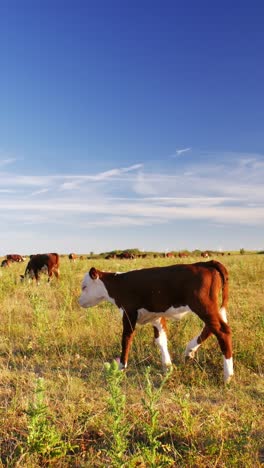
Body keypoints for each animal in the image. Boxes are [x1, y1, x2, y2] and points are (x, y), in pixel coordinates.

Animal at [78, 260, 233, 384]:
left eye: (84, 286)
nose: (79, 301)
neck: (118, 285)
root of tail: (204, 263)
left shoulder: (129, 313)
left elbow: (126, 339)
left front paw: (121, 367)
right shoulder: (156, 317)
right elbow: (161, 340)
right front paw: (167, 366)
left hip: (203, 305)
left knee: (222, 331)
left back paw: (228, 376)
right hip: (208, 307)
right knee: (211, 328)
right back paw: (189, 351)